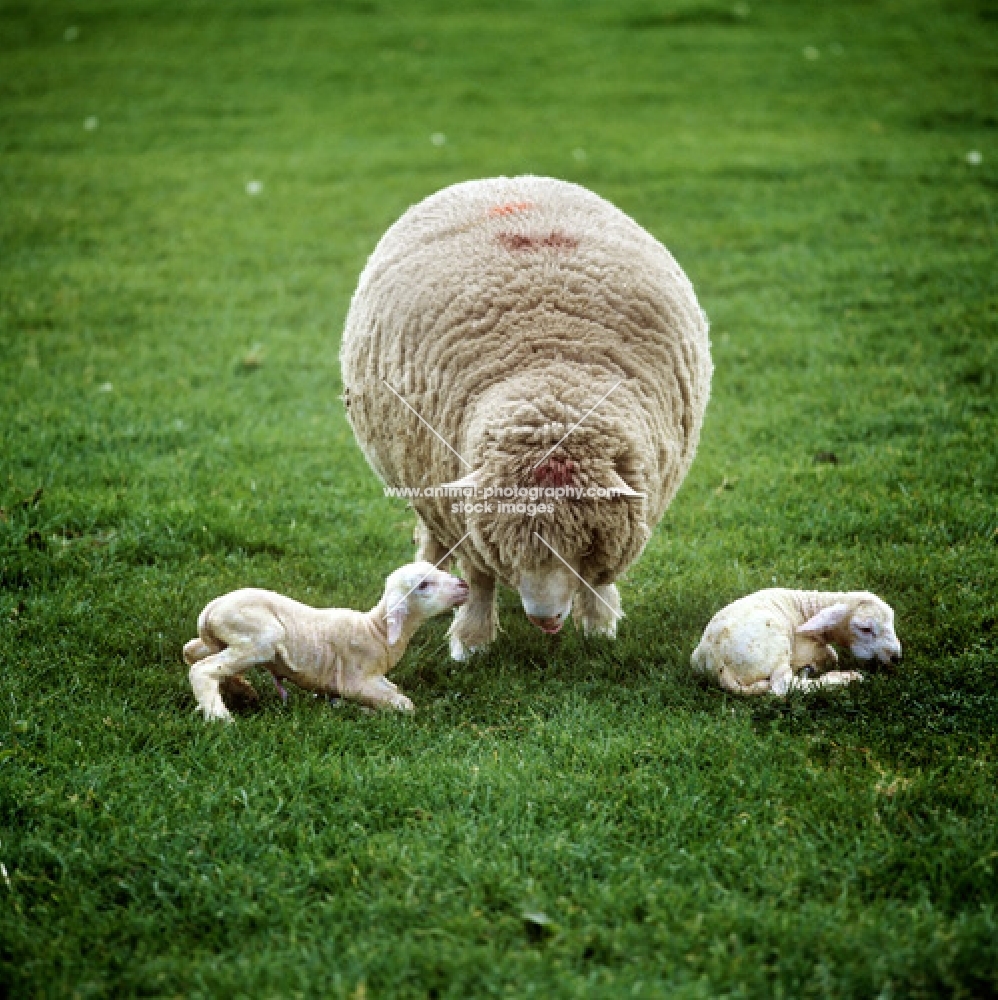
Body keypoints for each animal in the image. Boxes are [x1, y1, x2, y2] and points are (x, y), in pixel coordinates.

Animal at [183, 564, 468, 720]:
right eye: (424, 585)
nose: (464, 584)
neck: (375, 630)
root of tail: (210, 610)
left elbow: (394, 691)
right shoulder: (355, 680)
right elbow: (404, 705)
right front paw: (365, 711)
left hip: (221, 640)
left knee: (191, 651)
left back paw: (241, 690)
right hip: (259, 639)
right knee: (202, 669)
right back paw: (220, 717)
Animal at [342, 176, 712, 660]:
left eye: (586, 539)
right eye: (507, 541)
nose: (545, 620)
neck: (551, 375)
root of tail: (503, 180)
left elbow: (598, 579)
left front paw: (598, 624)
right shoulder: (467, 516)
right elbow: (478, 578)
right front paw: (472, 641)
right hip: (428, 489)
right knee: (433, 541)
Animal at [692, 584, 904, 696]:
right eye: (865, 629)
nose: (896, 657)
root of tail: (718, 662)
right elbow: (831, 655)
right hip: (775, 646)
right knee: (783, 686)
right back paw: (846, 677)